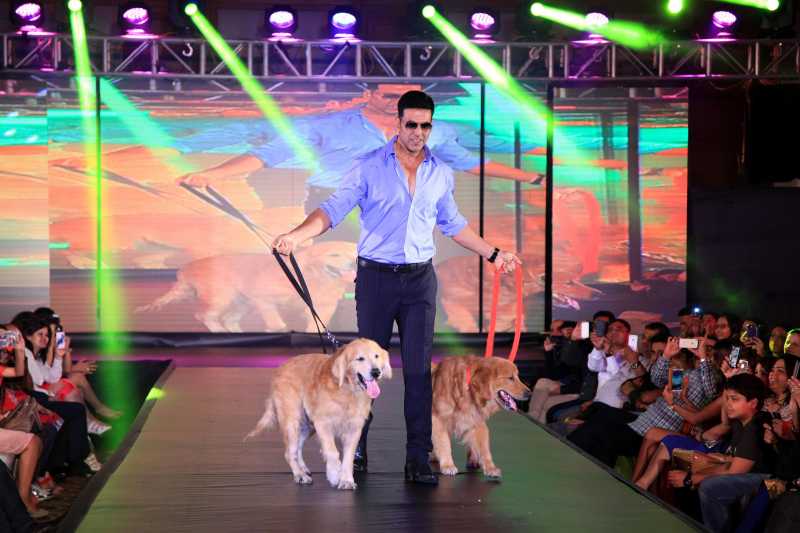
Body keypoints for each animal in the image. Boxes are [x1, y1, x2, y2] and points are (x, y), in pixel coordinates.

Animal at [245, 338, 392, 488]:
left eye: (376, 356)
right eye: (360, 358)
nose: (376, 372)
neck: (347, 389)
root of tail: (280, 368)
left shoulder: (354, 428)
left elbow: (348, 457)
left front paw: (346, 480)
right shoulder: (323, 424)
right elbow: (332, 452)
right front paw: (334, 474)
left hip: (307, 426)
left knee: (298, 448)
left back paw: (303, 468)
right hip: (293, 421)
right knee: (289, 452)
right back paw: (300, 475)